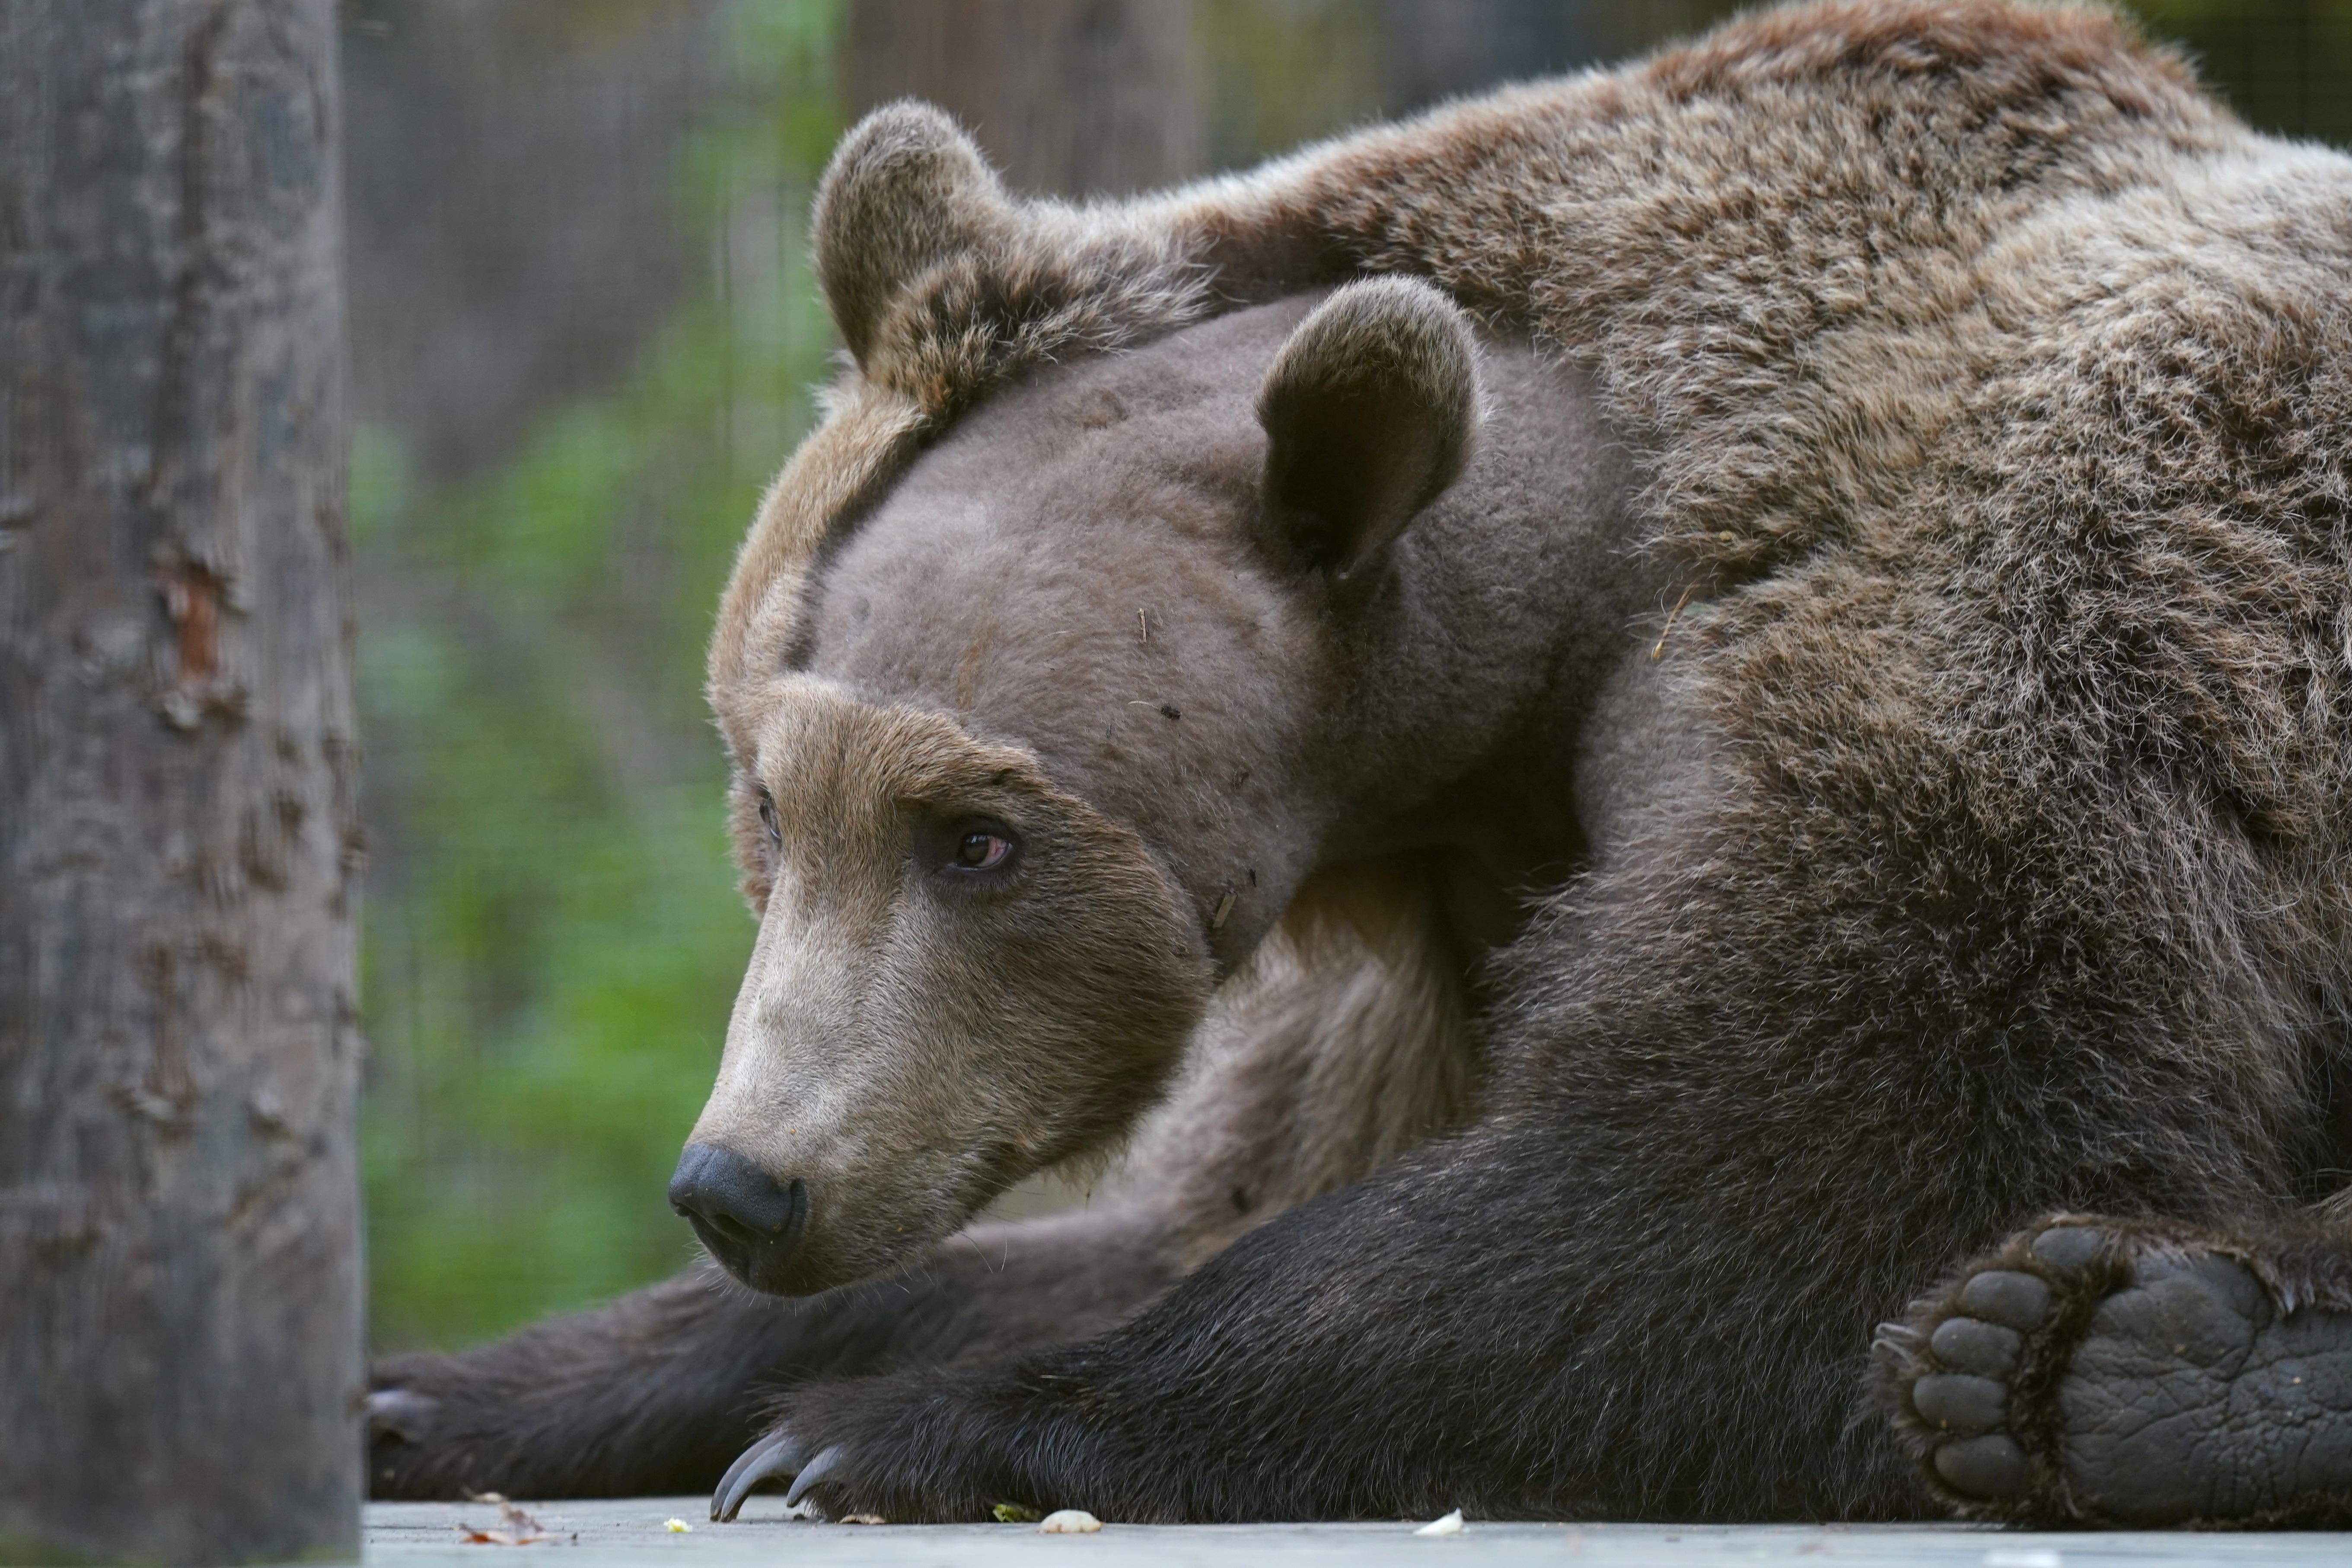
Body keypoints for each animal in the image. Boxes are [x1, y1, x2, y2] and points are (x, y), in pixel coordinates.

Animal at [362, 0, 2352, 1523]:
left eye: (973, 837)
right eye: (773, 801)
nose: (744, 1182)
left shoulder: (1994, 658)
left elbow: (1791, 1170)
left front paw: (887, 1434)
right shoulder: (1425, 933)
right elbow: (1197, 1206)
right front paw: (440, 1391)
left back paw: (2120, 1354)